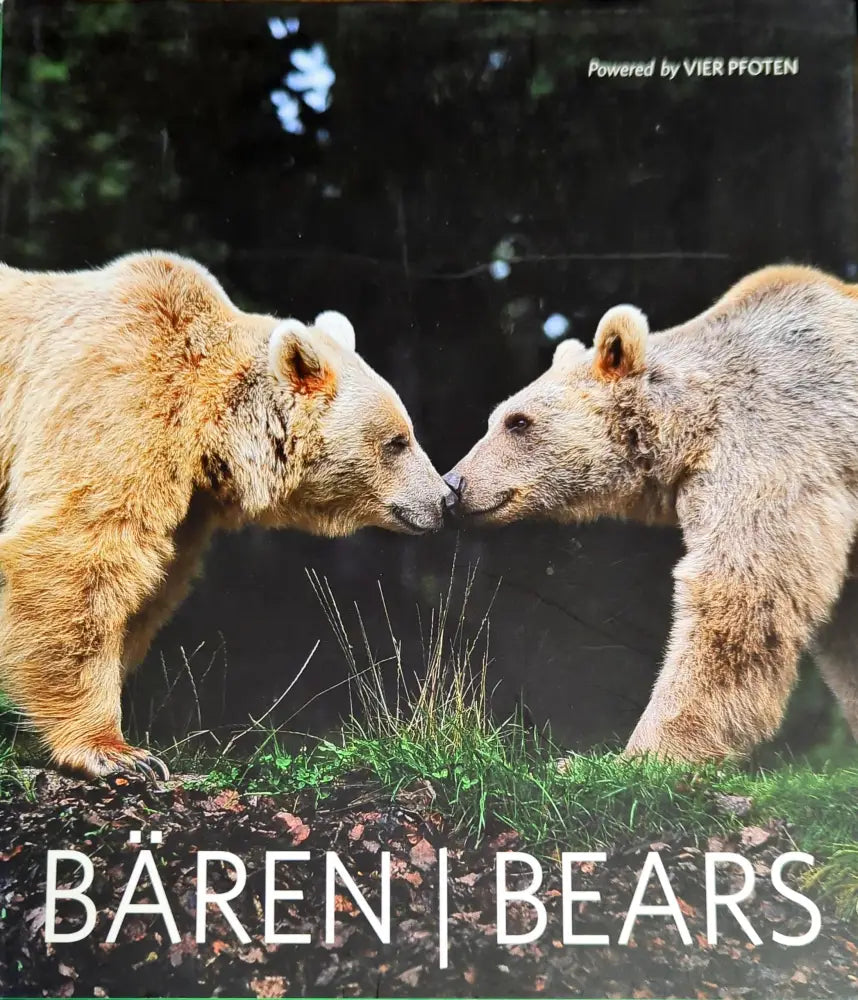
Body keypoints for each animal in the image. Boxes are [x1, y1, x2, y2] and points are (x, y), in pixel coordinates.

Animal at [0, 251, 451, 778]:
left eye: (407, 432)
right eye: (396, 441)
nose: (445, 498)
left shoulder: (188, 508)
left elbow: (146, 590)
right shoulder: (116, 400)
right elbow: (77, 551)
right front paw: (117, 751)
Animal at [444, 264, 858, 762]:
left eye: (518, 421)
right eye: (495, 419)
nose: (453, 485)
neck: (692, 426)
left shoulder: (775, 446)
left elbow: (738, 589)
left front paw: (645, 753)